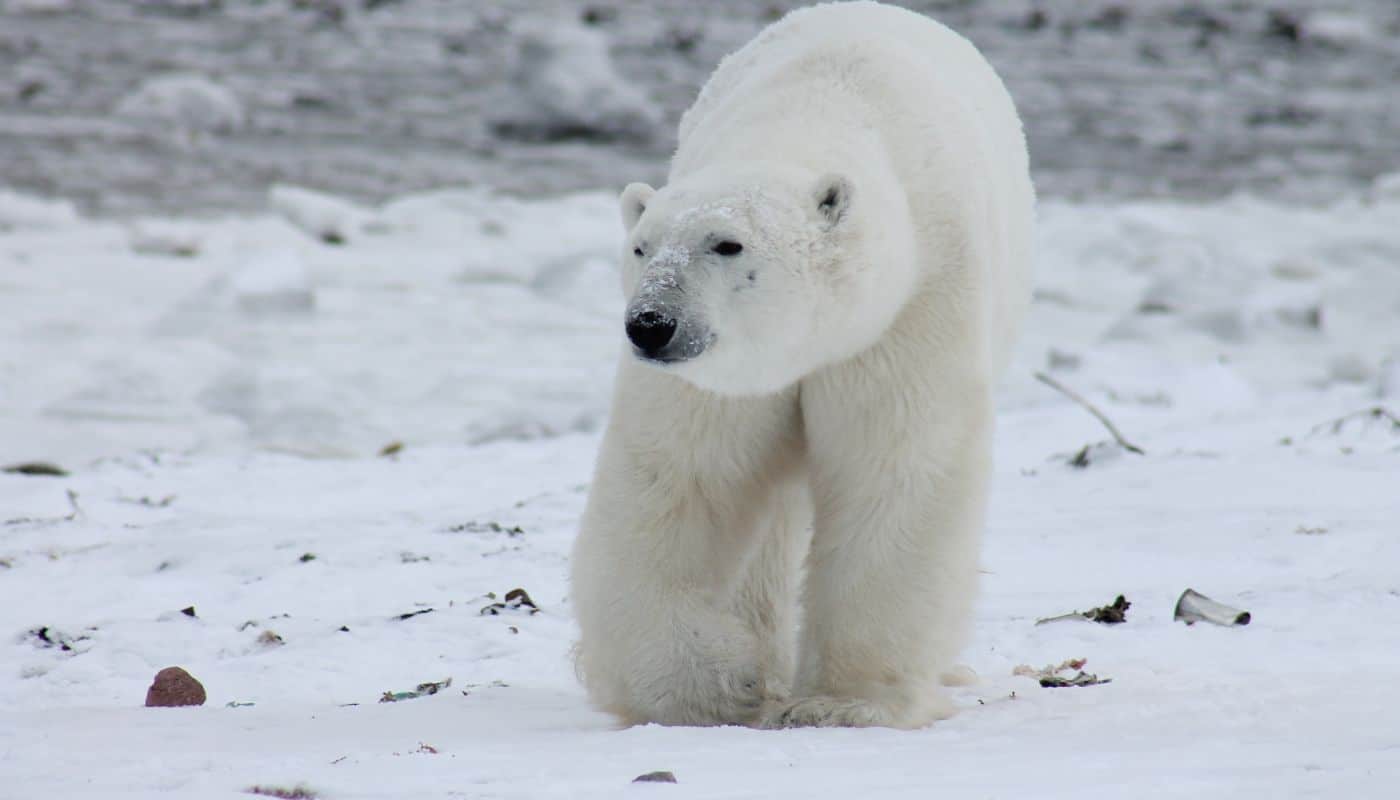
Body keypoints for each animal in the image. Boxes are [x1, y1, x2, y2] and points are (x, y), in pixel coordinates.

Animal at [565, 0, 1030, 728]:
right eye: (641, 247)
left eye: (726, 244)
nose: (651, 325)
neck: (816, 109)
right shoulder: (722, 377)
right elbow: (679, 478)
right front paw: (716, 682)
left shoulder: (910, 309)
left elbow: (895, 470)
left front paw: (843, 703)